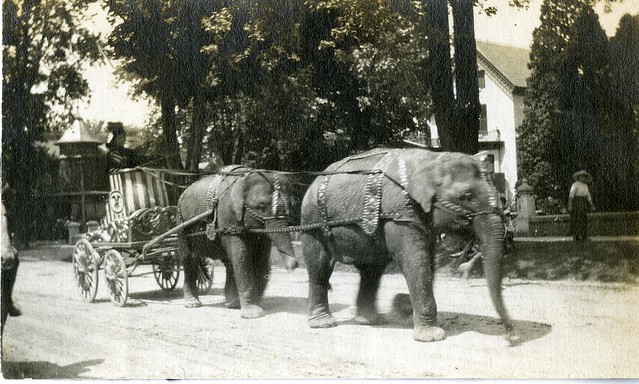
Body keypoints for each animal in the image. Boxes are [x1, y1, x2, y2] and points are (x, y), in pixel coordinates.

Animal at [176, 165, 298, 318]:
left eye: (292, 206)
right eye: (261, 206)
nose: (294, 265)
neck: (245, 177)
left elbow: (261, 257)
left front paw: (255, 305)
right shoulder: (227, 217)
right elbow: (242, 256)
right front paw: (253, 313)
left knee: (228, 262)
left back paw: (232, 304)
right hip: (182, 224)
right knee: (189, 259)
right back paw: (193, 304)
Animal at [302, 148, 516, 344]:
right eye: (466, 195)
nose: (511, 335)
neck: (433, 159)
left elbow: (427, 261)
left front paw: (404, 305)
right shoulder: (400, 212)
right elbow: (415, 260)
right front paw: (432, 337)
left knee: (371, 270)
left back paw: (369, 320)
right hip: (312, 224)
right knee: (319, 268)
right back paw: (324, 323)